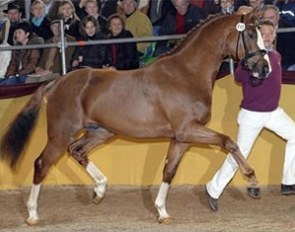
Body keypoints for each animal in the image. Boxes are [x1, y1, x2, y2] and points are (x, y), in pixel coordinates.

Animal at [1, 10, 272, 225]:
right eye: (250, 34)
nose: (265, 69)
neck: (185, 74)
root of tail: (57, 82)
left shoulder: (181, 138)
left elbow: (169, 171)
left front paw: (162, 212)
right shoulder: (189, 130)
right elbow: (229, 142)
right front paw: (253, 182)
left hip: (101, 131)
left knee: (77, 151)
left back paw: (99, 191)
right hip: (61, 133)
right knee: (42, 164)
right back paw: (33, 215)